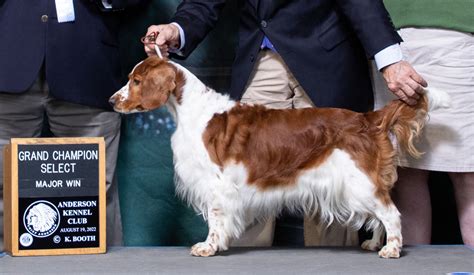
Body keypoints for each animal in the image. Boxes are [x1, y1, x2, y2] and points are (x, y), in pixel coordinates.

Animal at [109, 57, 450, 260]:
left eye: (136, 81)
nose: (112, 100)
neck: (191, 111)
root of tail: (368, 118)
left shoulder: (216, 184)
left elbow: (216, 218)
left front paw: (208, 246)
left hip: (359, 182)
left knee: (391, 213)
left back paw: (391, 249)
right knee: (381, 214)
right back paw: (374, 243)